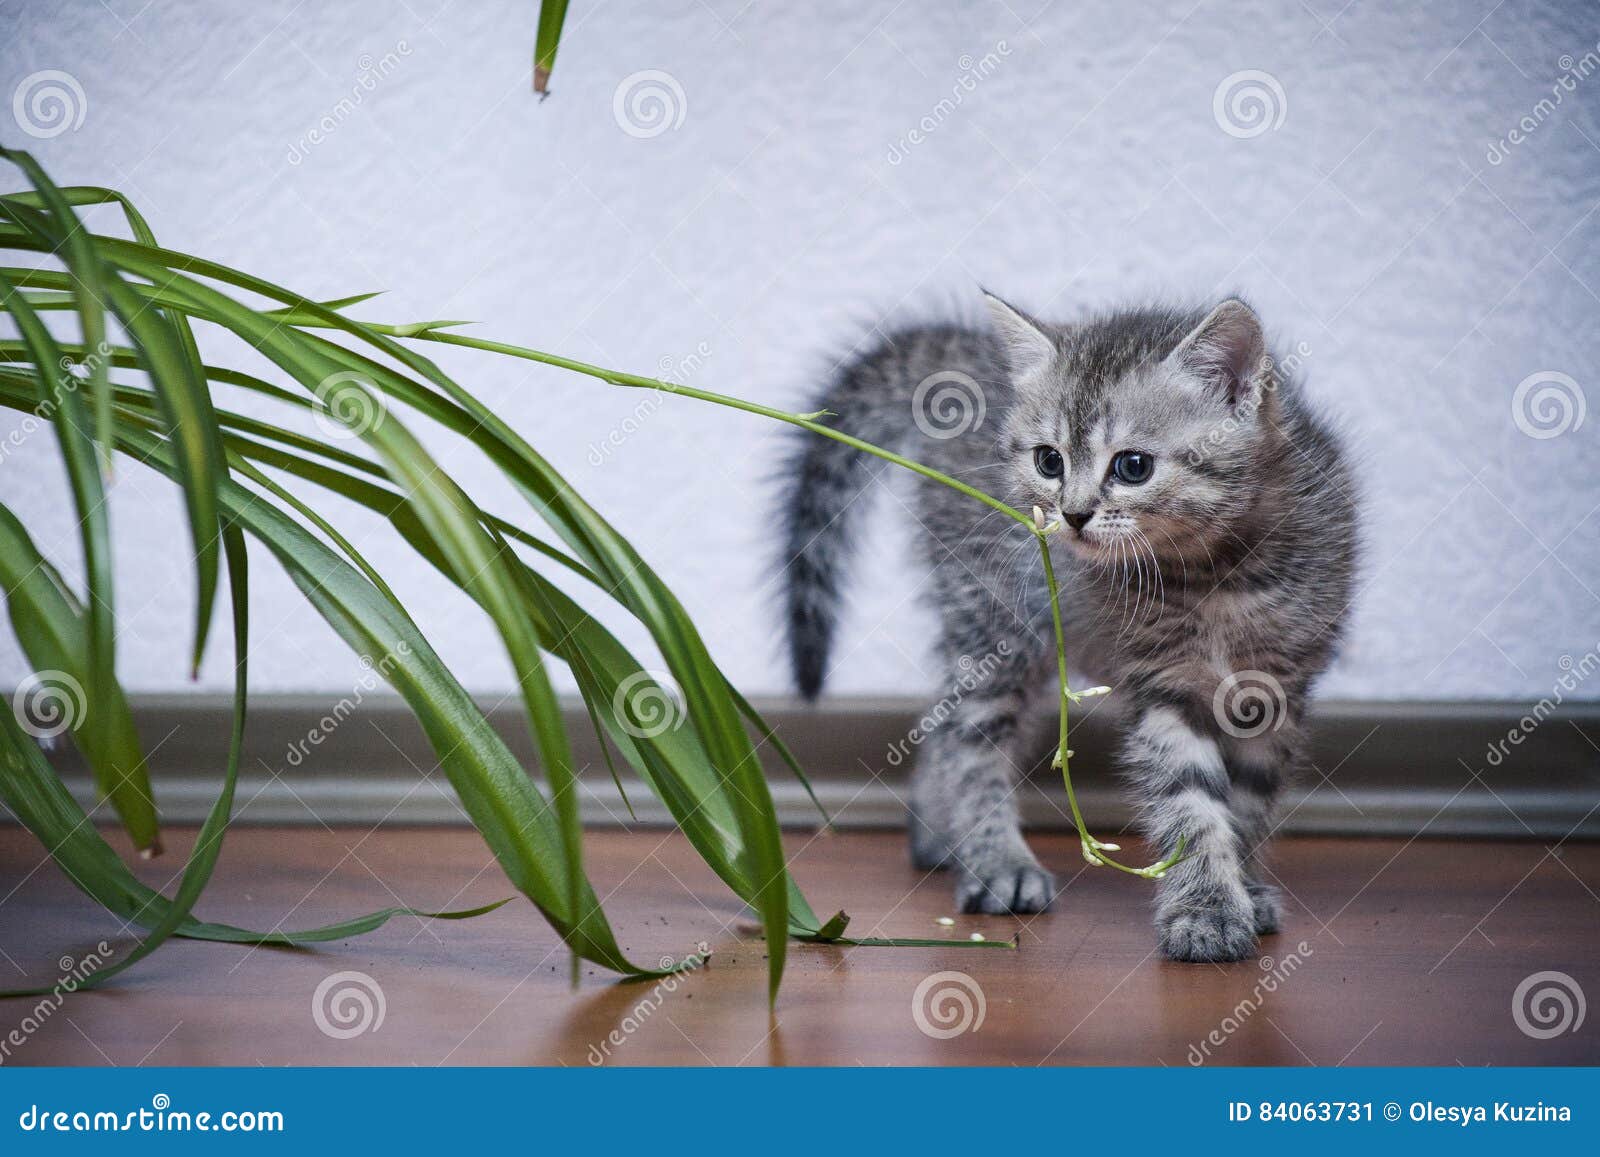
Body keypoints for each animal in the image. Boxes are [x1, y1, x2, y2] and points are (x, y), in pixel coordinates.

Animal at [780, 294, 1356, 966]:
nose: (1073, 513)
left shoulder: (1274, 688)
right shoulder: (1162, 683)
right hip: (996, 621)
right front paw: (1207, 909)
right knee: (965, 737)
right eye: (1049, 461)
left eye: (1133, 466)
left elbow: (1250, 800)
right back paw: (996, 864)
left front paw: (1246, 885)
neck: (1217, 576)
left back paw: (938, 836)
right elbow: (1187, 800)